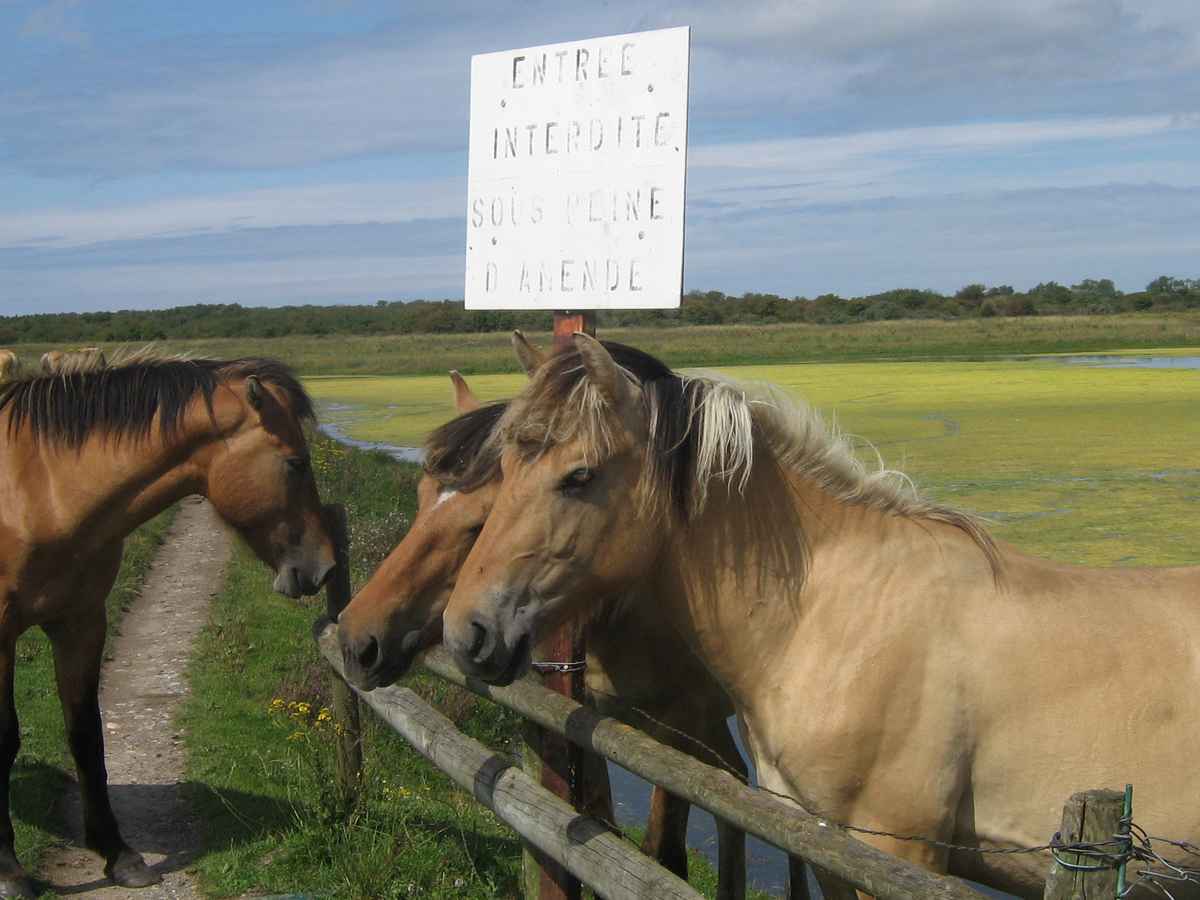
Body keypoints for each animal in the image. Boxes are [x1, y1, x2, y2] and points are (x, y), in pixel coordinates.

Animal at [0, 354, 336, 898]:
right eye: (295, 463)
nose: (324, 567)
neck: (37, 491)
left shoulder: (82, 622)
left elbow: (86, 734)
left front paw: (118, 853)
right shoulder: (2, 633)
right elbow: (6, 736)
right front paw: (9, 868)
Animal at [337, 339, 751, 899]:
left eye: (479, 523)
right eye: (421, 497)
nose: (357, 639)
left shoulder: (679, 733)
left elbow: (663, 855)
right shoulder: (591, 722)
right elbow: (600, 826)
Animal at [441, 334, 1200, 899]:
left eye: (580, 476)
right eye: (505, 466)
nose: (466, 630)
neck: (837, 619)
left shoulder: (901, 856)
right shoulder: (828, 847)